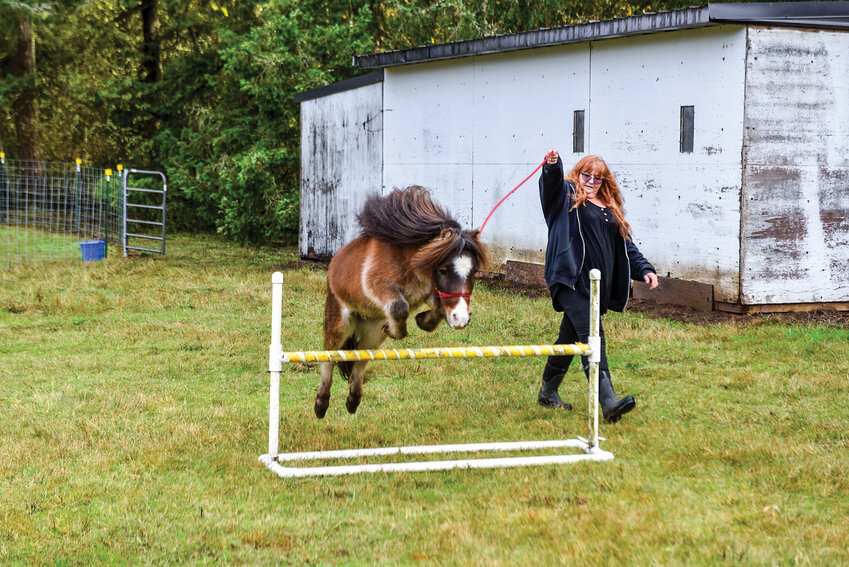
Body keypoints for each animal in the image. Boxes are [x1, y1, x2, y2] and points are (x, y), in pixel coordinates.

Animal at [314, 186, 489, 418]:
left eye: (474, 271)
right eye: (443, 270)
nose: (461, 318)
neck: (409, 261)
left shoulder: (427, 291)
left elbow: (436, 308)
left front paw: (422, 320)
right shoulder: (376, 284)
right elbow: (399, 306)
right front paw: (398, 329)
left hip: (372, 333)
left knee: (360, 356)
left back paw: (353, 401)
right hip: (340, 324)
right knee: (329, 356)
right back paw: (321, 404)